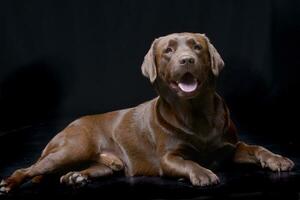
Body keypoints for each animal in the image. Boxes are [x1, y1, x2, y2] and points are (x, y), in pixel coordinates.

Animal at [0, 32, 296, 194]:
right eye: (169, 51)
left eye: (196, 47)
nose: (186, 60)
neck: (195, 113)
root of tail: (67, 127)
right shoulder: (168, 158)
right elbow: (189, 163)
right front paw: (202, 173)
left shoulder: (230, 147)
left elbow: (256, 147)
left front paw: (277, 159)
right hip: (72, 148)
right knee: (30, 168)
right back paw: (9, 182)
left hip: (99, 164)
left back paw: (76, 176)